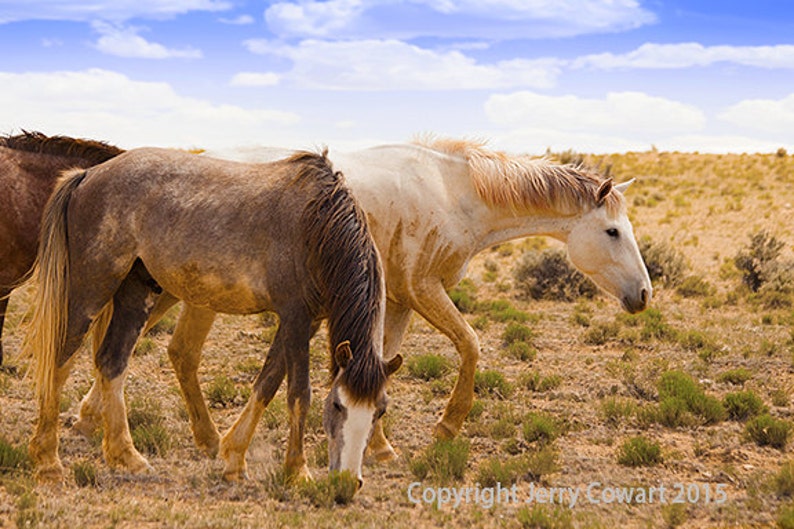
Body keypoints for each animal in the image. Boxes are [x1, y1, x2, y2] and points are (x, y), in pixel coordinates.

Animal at [23, 147, 401, 487]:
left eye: (380, 410)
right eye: (337, 405)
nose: (347, 483)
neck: (316, 224)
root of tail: (86, 175)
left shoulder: (306, 322)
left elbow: (267, 383)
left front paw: (234, 458)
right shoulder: (295, 317)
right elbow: (298, 393)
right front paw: (297, 471)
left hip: (136, 294)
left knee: (111, 362)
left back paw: (127, 456)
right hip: (89, 292)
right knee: (59, 360)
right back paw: (48, 463)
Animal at [77, 137, 651, 462]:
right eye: (612, 232)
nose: (644, 295)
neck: (455, 193)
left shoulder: (397, 301)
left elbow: (384, 358)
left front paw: (378, 444)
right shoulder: (424, 291)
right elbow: (471, 346)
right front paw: (446, 426)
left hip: (179, 289)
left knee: (155, 350)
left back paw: (112, 423)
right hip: (190, 293)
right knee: (162, 351)